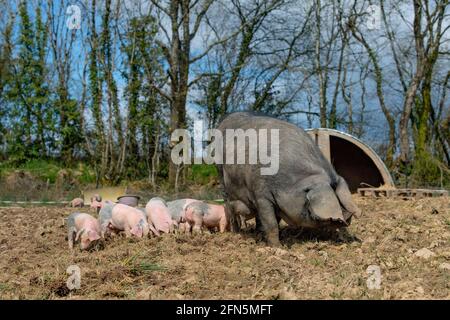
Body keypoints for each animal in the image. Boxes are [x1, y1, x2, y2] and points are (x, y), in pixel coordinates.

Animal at [216, 111, 360, 246]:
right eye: (314, 215)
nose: (343, 221)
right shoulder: (261, 195)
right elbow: (271, 223)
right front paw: (277, 247)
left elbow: (273, 220)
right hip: (221, 175)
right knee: (229, 207)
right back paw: (236, 233)